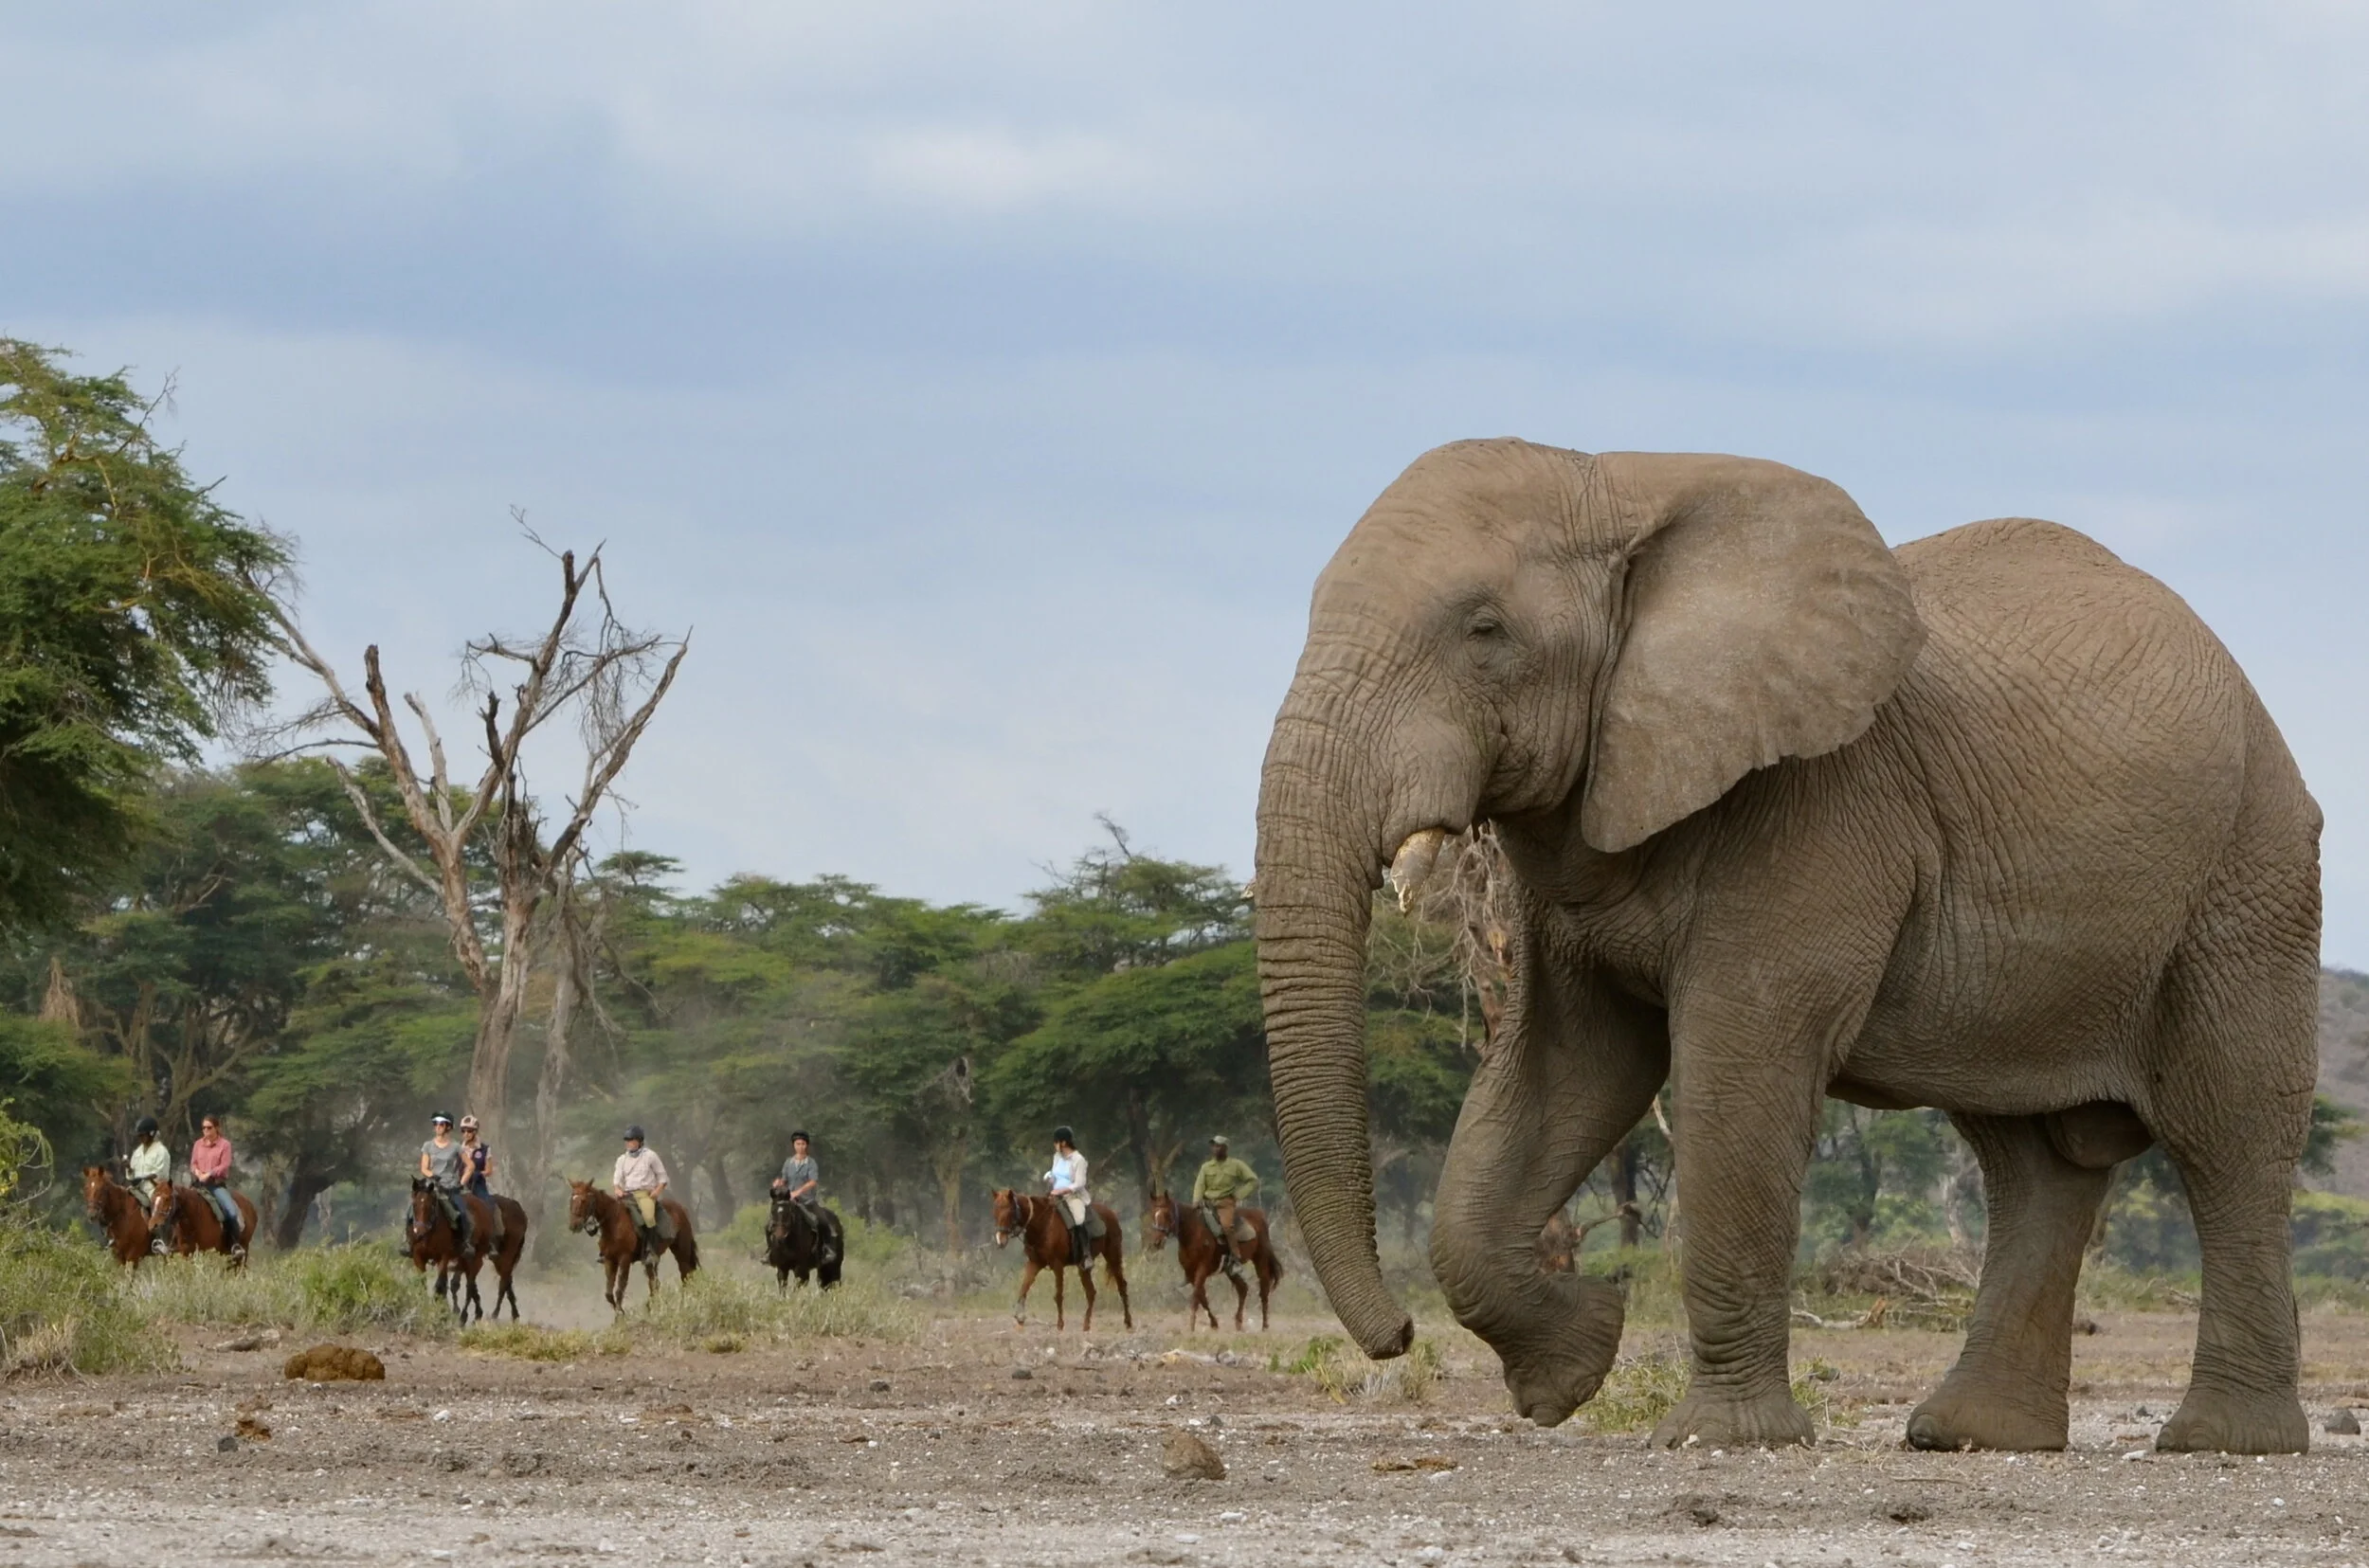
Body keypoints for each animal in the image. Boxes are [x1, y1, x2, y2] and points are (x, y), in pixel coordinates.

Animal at [1254, 438, 2319, 1454]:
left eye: (1484, 630)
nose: (1396, 1337)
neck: (1622, 491)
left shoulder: (1820, 801)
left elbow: (1735, 1075)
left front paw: (1713, 1437)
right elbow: (1563, 1071)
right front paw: (1573, 1367)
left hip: (2249, 871)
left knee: (2227, 1132)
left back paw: (2223, 1441)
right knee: (2029, 1163)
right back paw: (1968, 1434)